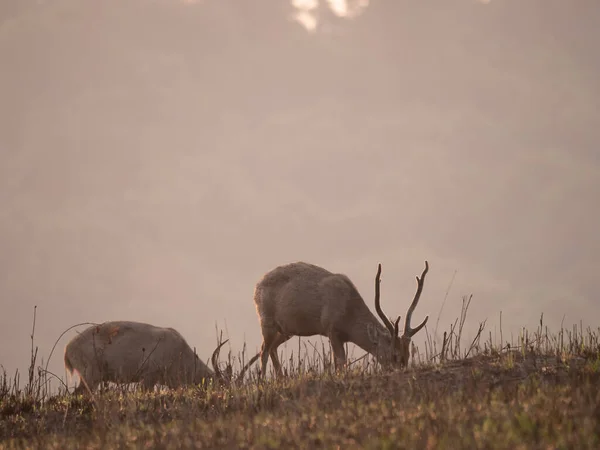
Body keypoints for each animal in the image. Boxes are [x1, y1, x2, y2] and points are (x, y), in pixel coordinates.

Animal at [253, 258, 432, 378]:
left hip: (285, 330)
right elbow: (340, 362)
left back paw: (280, 379)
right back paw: (263, 382)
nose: (399, 371)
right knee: (263, 350)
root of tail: (257, 286)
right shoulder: (331, 329)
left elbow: (340, 363)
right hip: (266, 321)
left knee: (272, 348)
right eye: (394, 355)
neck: (347, 311)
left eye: (407, 356)